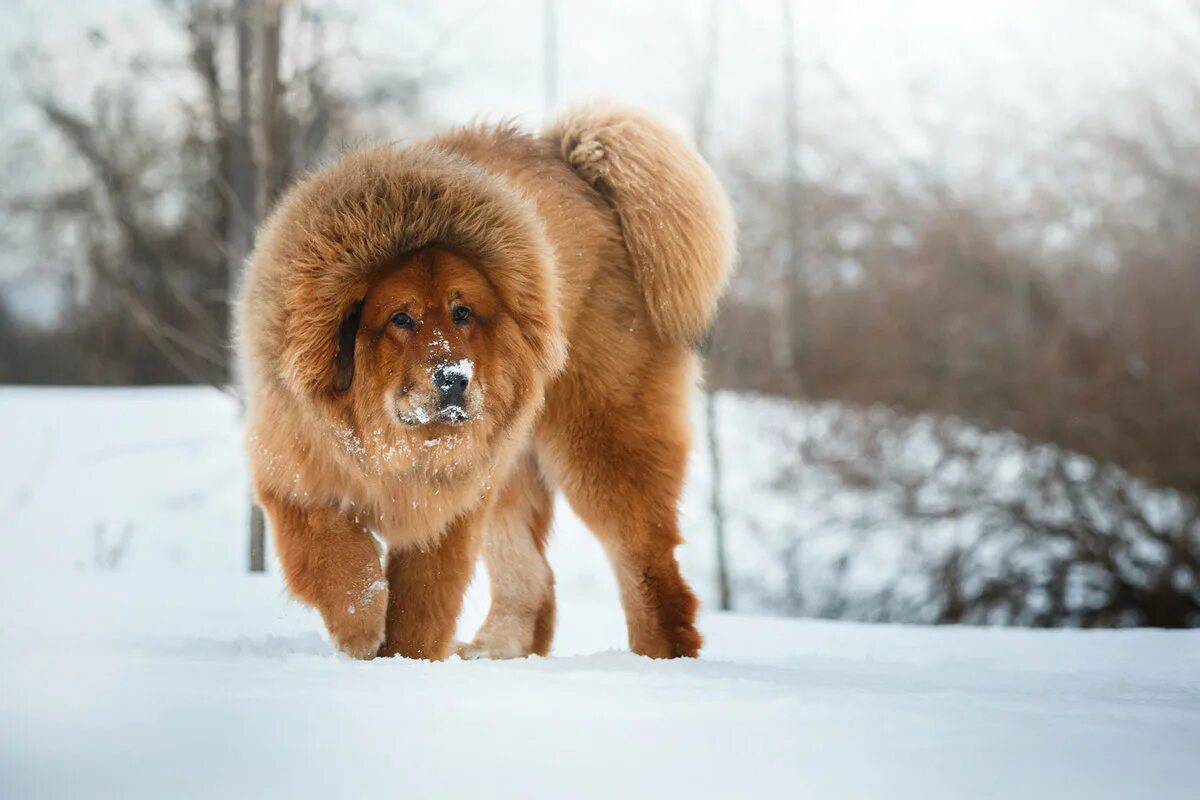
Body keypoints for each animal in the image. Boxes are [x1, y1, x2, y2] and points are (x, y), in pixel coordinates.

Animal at [236, 101, 729, 662]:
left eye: (463, 312)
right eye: (401, 319)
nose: (454, 378)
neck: (391, 447)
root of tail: (581, 176)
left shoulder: (447, 512)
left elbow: (422, 603)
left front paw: (403, 658)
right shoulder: (295, 474)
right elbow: (337, 561)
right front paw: (363, 626)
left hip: (602, 445)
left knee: (647, 570)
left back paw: (655, 659)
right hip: (509, 470)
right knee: (533, 578)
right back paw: (495, 651)